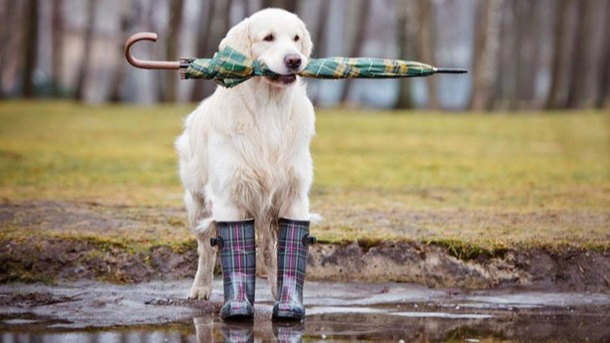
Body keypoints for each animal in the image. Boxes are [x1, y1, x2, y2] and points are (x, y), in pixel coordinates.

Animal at [175, 8, 314, 300]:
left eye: (296, 38)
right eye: (268, 37)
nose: (295, 60)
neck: (269, 108)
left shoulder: (293, 195)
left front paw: (286, 297)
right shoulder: (229, 196)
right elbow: (228, 249)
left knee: (269, 251)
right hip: (197, 203)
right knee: (206, 248)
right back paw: (200, 288)